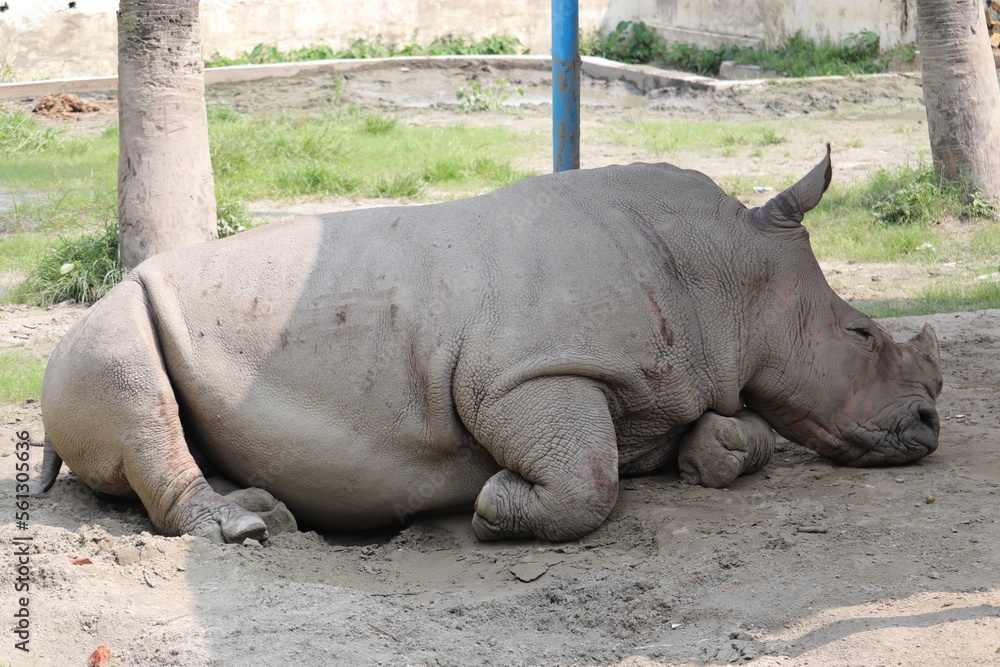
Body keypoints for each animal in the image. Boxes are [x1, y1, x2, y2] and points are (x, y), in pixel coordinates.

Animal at [38, 147, 943, 543]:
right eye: (861, 334)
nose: (933, 427)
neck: (723, 270)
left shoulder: (672, 378)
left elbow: (732, 429)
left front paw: (711, 452)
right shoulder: (520, 376)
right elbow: (588, 480)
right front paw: (491, 503)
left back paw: (270, 512)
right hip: (105, 326)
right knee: (136, 384)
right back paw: (246, 529)